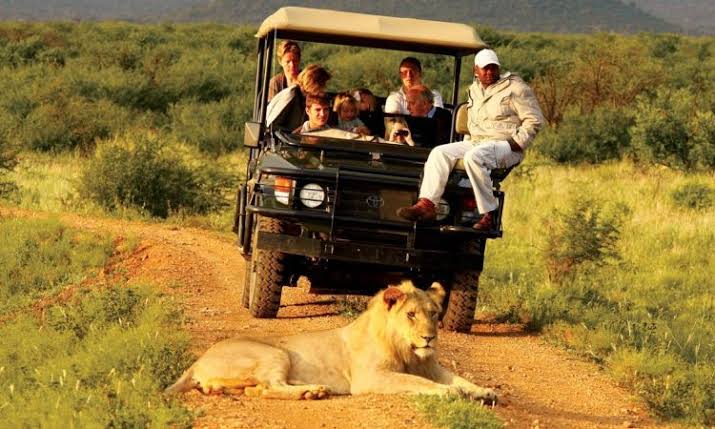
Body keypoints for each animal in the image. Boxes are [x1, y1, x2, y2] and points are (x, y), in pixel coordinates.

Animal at [165, 280, 497, 403]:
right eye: (411, 315)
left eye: (434, 313)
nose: (430, 338)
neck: (408, 351)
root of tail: (197, 361)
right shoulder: (371, 378)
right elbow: (421, 383)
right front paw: (451, 392)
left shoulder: (431, 366)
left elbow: (460, 378)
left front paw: (484, 391)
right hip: (275, 354)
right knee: (272, 387)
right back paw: (312, 391)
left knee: (258, 390)